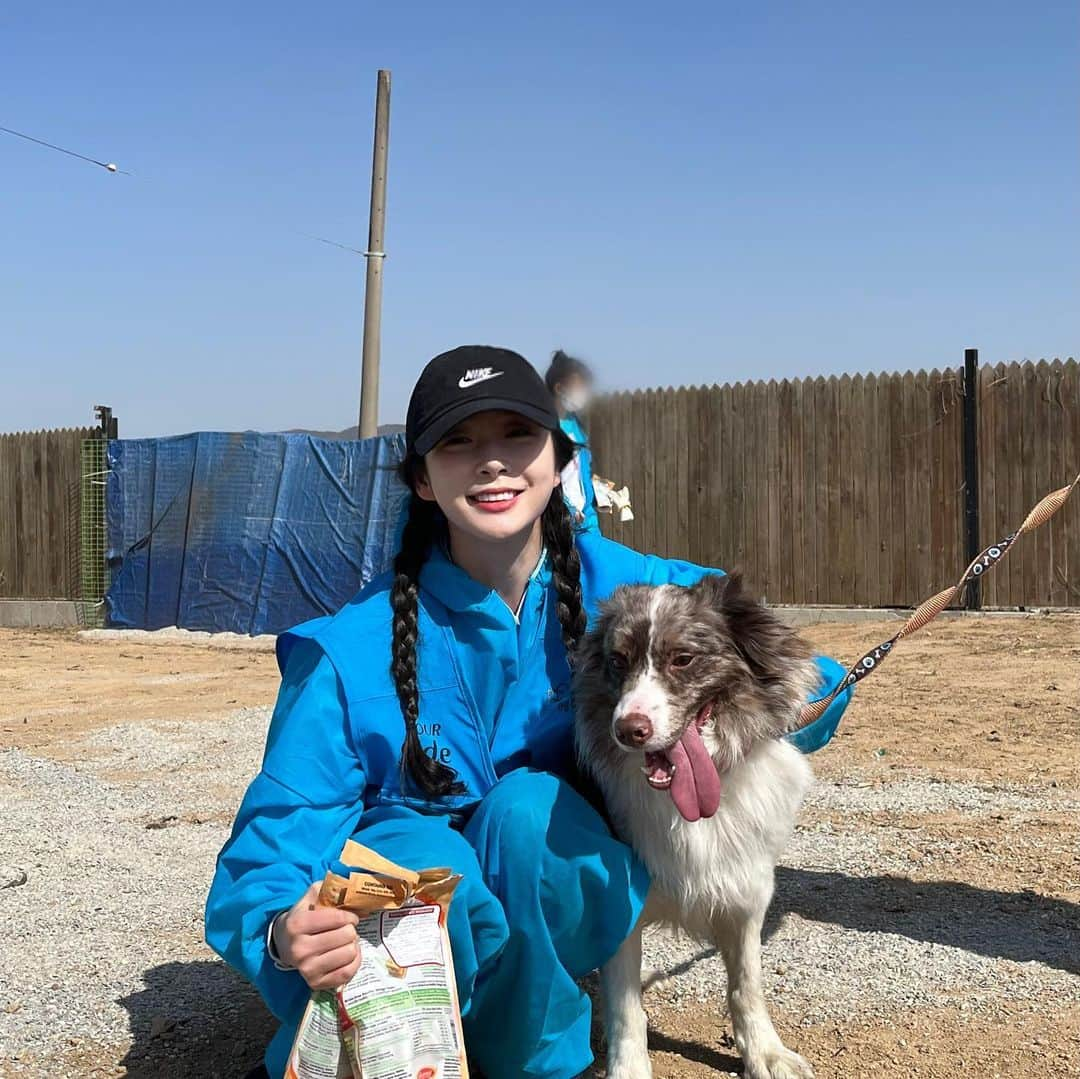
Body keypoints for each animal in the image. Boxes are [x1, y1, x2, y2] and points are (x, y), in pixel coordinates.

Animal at [574, 574, 816, 1079]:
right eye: (617, 660)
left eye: (682, 658)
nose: (629, 730)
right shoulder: (617, 905)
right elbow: (626, 1007)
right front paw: (628, 1068)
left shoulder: (746, 892)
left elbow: (747, 984)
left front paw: (764, 1052)